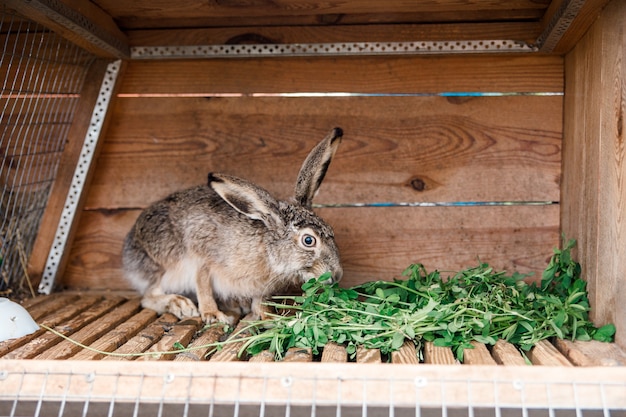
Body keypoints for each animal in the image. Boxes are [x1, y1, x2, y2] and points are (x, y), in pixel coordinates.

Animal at [120, 127, 342, 324]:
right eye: (308, 240)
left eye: (331, 231)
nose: (337, 275)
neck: (267, 250)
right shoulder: (202, 257)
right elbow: (203, 286)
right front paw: (212, 315)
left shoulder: (261, 287)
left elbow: (260, 303)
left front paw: (271, 317)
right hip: (163, 268)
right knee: (148, 296)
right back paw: (180, 304)